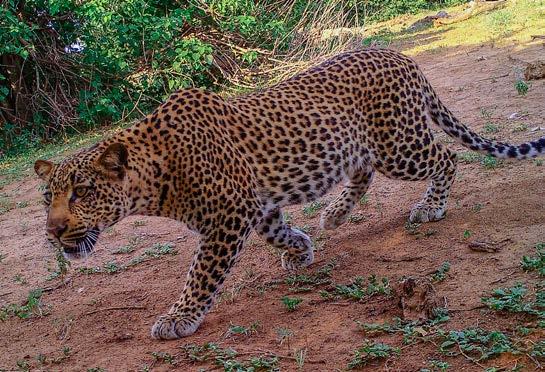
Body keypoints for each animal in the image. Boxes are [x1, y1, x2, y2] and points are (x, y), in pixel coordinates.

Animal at [35, 48, 544, 340]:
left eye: (81, 192)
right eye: (47, 198)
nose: (54, 230)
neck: (153, 176)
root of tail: (402, 56)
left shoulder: (229, 214)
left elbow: (201, 274)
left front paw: (178, 318)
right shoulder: (255, 208)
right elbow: (278, 231)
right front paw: (301, 250)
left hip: (399, 146)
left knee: (446, 156)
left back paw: (430, 207)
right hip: (357, 147)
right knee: (362, 173)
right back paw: (334, 215)